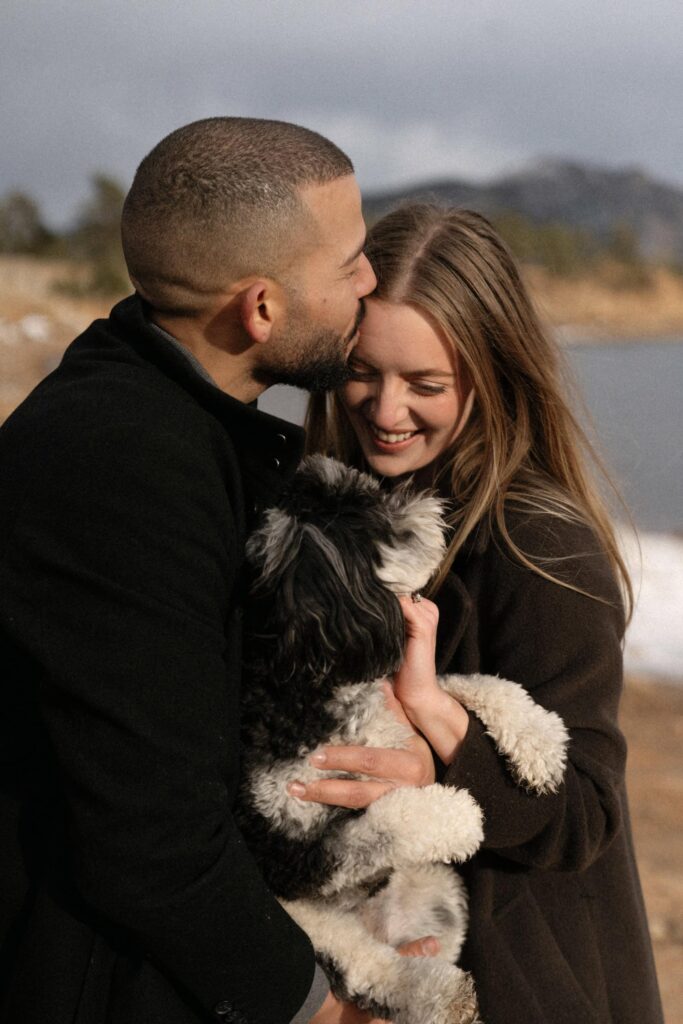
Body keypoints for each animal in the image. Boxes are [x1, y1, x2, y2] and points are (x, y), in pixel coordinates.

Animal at [237, 458, 569, 1024]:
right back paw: (438, 996)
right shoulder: (289, 850)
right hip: (310, 925)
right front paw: (457, 816)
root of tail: (378, 921)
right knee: (367, 970)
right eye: (377, 516)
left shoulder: (402, 698)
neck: (324, 682)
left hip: (438, 888)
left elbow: (469, 684)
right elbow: (387, 821)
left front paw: (540, 742)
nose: (436, 504)